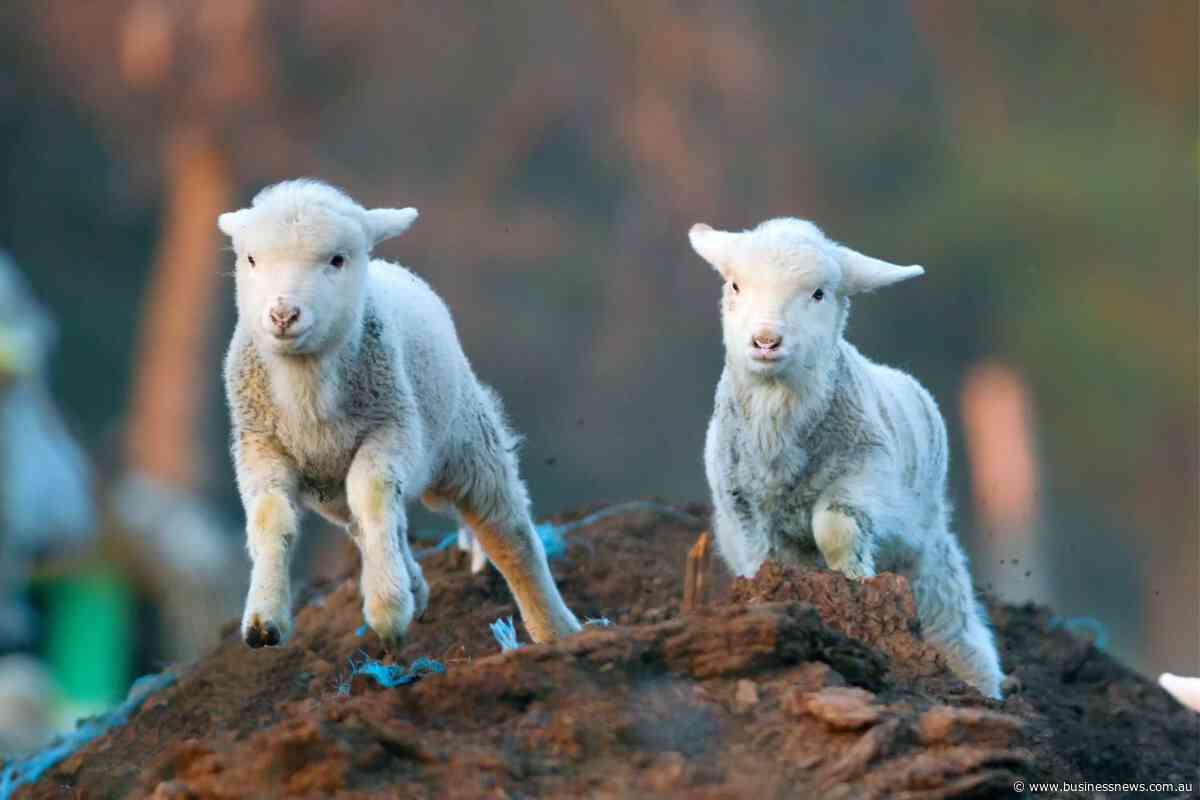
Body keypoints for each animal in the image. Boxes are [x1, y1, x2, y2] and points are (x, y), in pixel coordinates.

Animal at [218, 179, 581, 649]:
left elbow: (372, 495)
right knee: (370, 524)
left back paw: (555, 628)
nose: (283, 315)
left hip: (468, 441)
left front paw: (388, 610)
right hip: (334, 484)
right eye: (251, 259)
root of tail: (390, 265)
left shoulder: (392, 429)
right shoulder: (260, 445)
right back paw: (414, 584)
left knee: (508, 533)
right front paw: (264, 619)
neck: (306, 385)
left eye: (337, 259)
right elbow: (271, 517)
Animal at [688, 218, 1004, 699]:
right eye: (736, 285)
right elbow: (763, 561)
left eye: (819, 294)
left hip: (925, 547)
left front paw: (853, 582)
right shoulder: (740, 506)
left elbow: (836, 527)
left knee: (951, 621)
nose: (765, 341)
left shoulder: (867, 478)